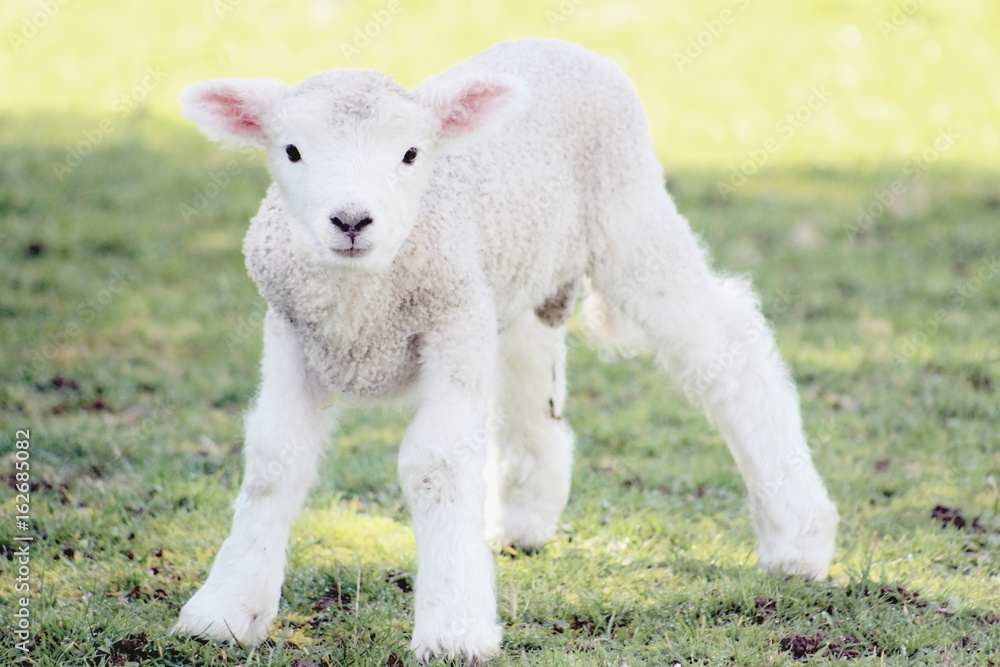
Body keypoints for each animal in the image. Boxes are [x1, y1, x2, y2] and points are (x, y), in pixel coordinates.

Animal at [173, 38, 839, 663]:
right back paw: (523, 522)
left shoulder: (453, 317)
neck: (364, 296)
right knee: (530, 375)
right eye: (291, 150)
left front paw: (453, 629)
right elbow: (274, 459)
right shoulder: (293, 328)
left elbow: (436, 463)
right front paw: (225, 610)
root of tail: (559, 43)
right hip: (516, 276)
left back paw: (798, 538)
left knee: (725, 347)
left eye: (411, 153)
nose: (351, 221)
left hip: (628, 213)